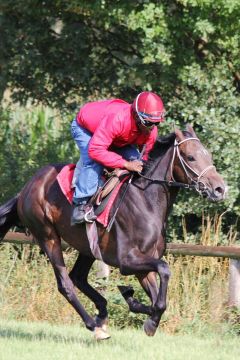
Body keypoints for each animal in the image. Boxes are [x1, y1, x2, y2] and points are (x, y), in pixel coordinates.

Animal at [0, 125, 226, 338]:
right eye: (190, 157)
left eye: (209, 155)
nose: (220, 189)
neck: (146, 201)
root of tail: (27, 188)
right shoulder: (127, 260)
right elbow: (164, 270)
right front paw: (148, 318)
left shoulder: (143, 264)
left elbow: (157, 299)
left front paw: (138, 305)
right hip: (48, 236)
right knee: (66, 284)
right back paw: (94, 326)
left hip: (88, 246)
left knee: (78, 277)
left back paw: (102, 312)